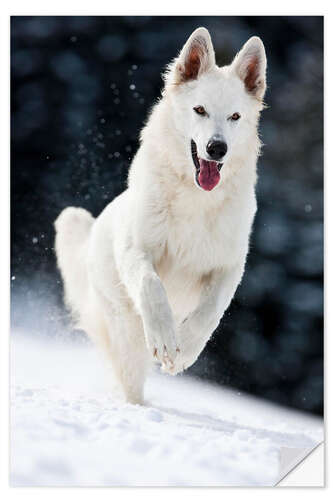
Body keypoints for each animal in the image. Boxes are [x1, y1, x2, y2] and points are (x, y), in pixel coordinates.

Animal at [55, 27, 268, 404]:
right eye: (199, 110)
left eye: (235, 117)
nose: (217, 148)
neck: (196, 198)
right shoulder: (137, 250)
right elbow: (151, 286)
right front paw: (167, 342)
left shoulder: (228, 266)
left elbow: (210, 312)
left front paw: (184, 350)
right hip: (125, 328)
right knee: (130, 377)